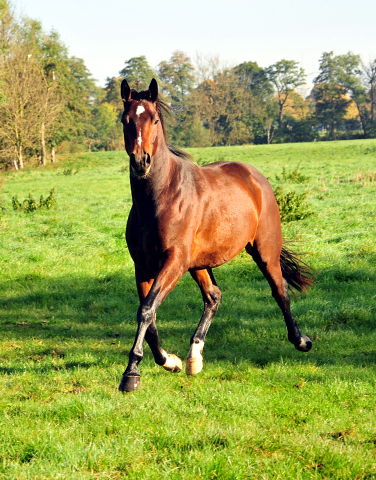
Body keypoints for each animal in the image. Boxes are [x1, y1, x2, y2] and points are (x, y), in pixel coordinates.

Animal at [119, 79, 312, 394]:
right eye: (126, 120)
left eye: (155, 119)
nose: (141, 162)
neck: (159, 198)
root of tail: (255, 177)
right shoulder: (143, 266)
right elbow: (150, 316)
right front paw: (169, 361)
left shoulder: (173, 261)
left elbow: (147, 310)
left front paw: (131, 373)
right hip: (199, 264)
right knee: (213, 297)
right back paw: (194, 357)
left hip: (264, 251)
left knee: (279, 290)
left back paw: (301, 341)